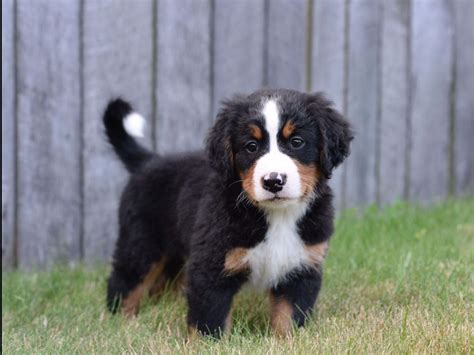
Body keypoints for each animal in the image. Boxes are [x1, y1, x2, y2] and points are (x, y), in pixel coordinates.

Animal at [105, 88, 354, 340]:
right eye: (251, 146)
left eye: (297, 142)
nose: (273, 181)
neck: (277, 216)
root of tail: (147, 161)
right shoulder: (211, 265)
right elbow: (210, 319)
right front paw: (207, 344)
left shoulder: (301, 267)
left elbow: (289, 316)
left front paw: (287, 341)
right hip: (142, 243)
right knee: (125, 282)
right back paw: (121, 323)